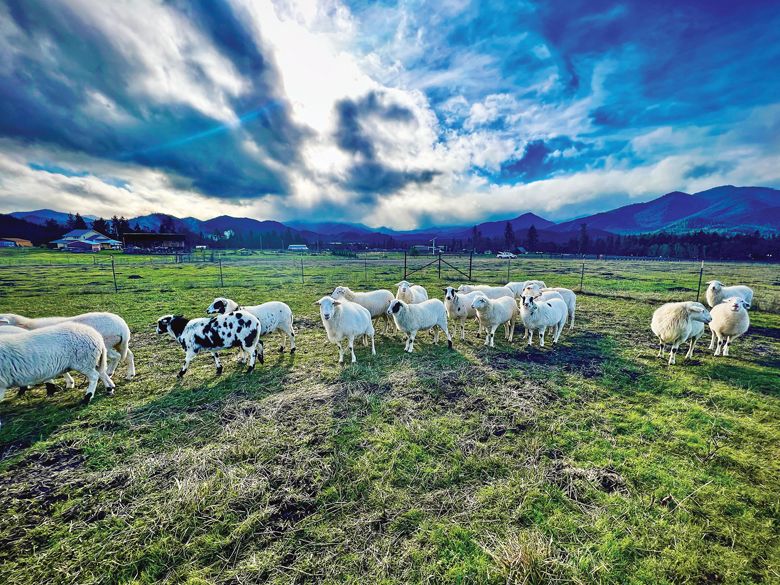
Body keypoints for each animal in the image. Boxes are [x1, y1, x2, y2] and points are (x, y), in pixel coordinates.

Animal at [0, 312, 136, 376]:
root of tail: (122, 327)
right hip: (119, 344)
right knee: (129, 355)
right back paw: (130, 374)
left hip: (107, 344)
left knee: (117, 357)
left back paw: (109, 372)